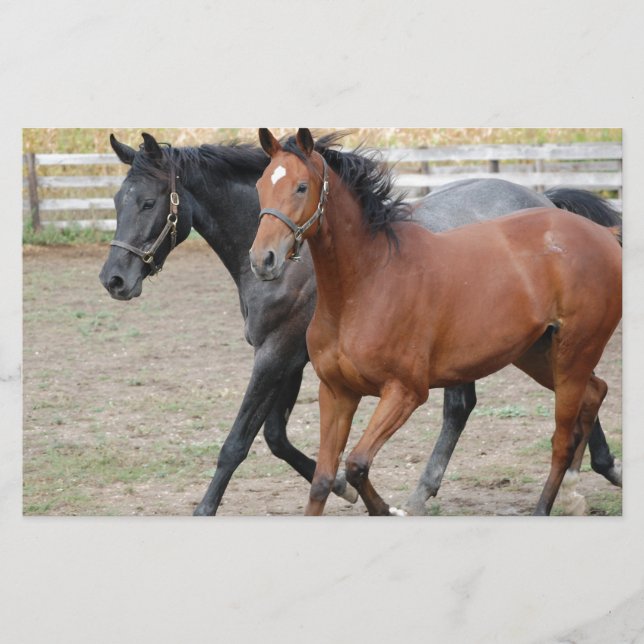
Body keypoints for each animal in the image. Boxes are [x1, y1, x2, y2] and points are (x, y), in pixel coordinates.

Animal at [100, 131, 621, 516]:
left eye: (149, 203)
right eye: (117, 200)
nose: (114, 279)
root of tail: (545, 200)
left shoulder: (277, 354)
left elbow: (240, 441)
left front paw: (206, 508)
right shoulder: (298, 363)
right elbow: (277, 438)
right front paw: (343, 489)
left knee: (510, 402)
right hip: (526, 345)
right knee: (561, 394)